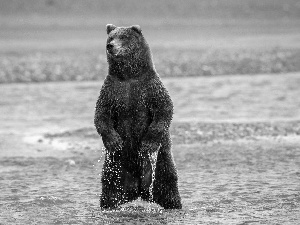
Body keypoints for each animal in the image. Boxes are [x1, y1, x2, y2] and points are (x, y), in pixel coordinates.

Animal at [95, 24, 182, 209]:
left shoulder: (149, 88)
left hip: (162, 163)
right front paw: (114, 141)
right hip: (115, 168)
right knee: (109, 189)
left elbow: (164, 109)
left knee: (168, 185)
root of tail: (138, 189)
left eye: (123, 37)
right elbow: (101, 115)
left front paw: (148, 144)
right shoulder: (112, 91)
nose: (110, 46)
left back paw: (174, 205)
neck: (129, 76)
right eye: (111, 37)